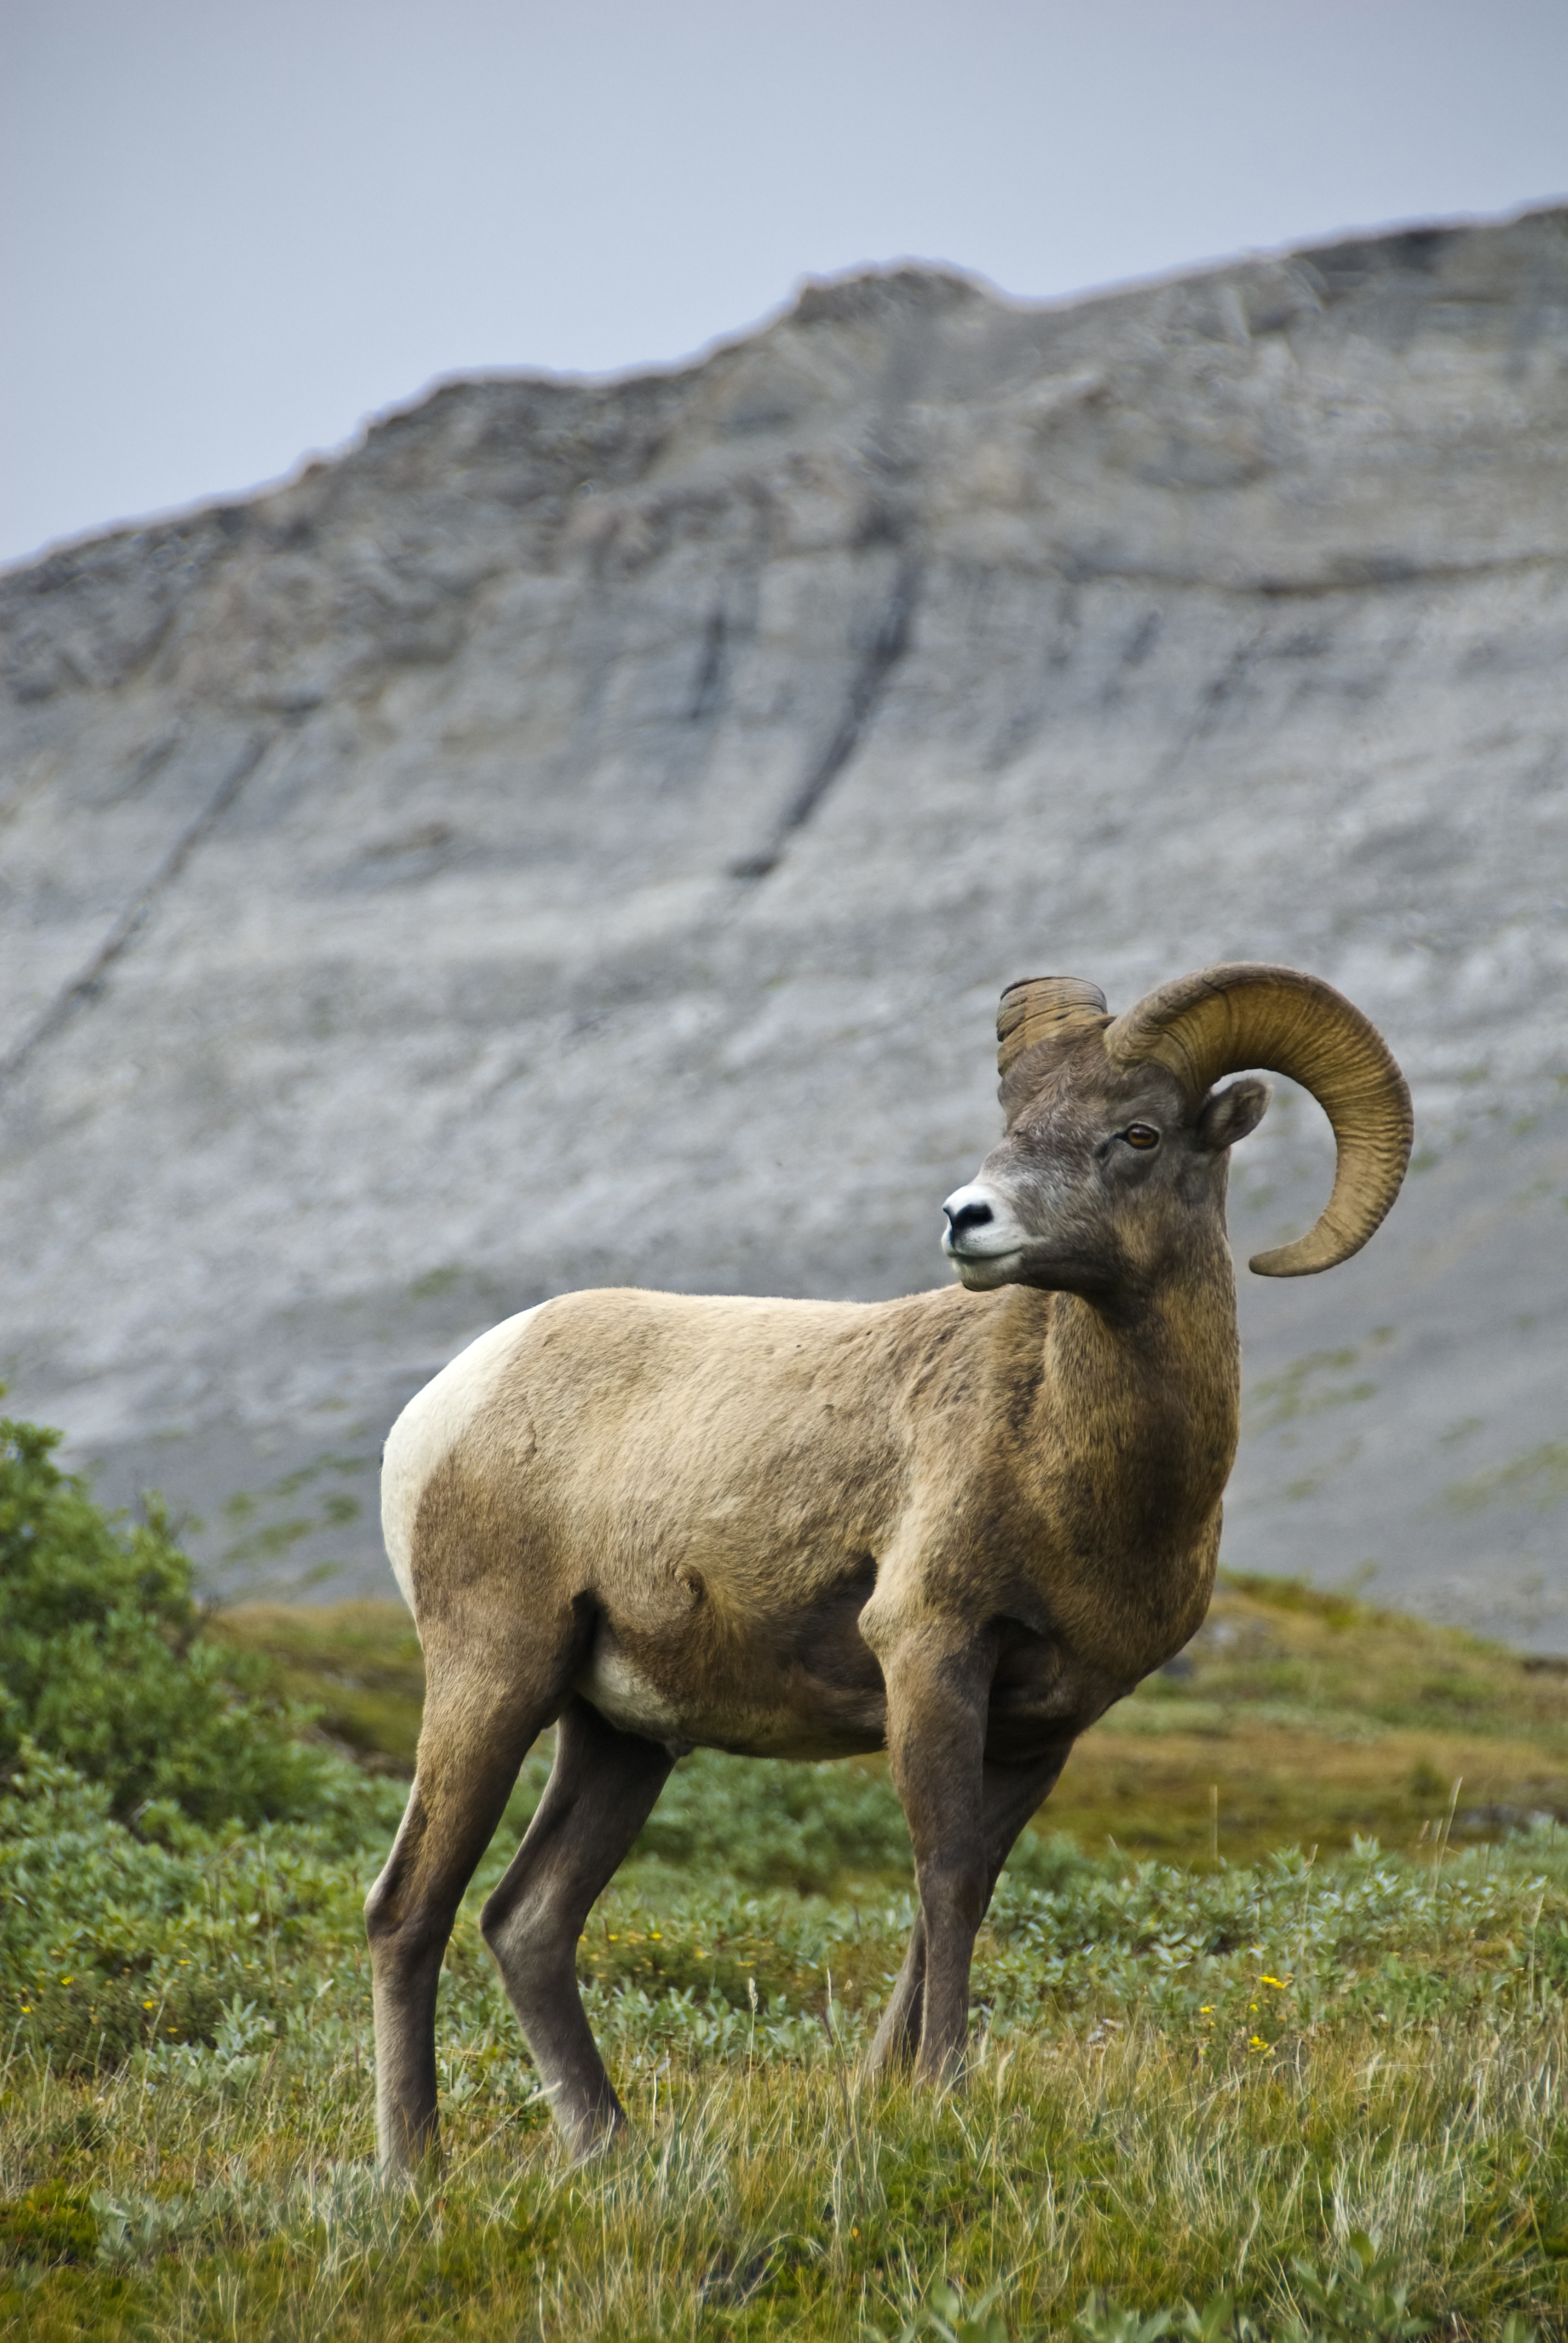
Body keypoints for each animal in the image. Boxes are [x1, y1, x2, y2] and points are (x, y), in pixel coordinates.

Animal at [366, 960, 1411, 2172]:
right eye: (1013, 1121)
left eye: (1139, 1133)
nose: (968, 1219)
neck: (1069, 1460)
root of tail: (446, 1402)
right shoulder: (931, 1657)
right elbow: (945, 1880)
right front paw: (945, 2088)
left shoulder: (1042, 1729)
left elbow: (960, 1890)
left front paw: (885, 2091)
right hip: (493, 1678)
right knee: (409, 1908)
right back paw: (414, 2168)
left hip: (621, 1735)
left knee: (527, 1921)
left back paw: (609, 2146)